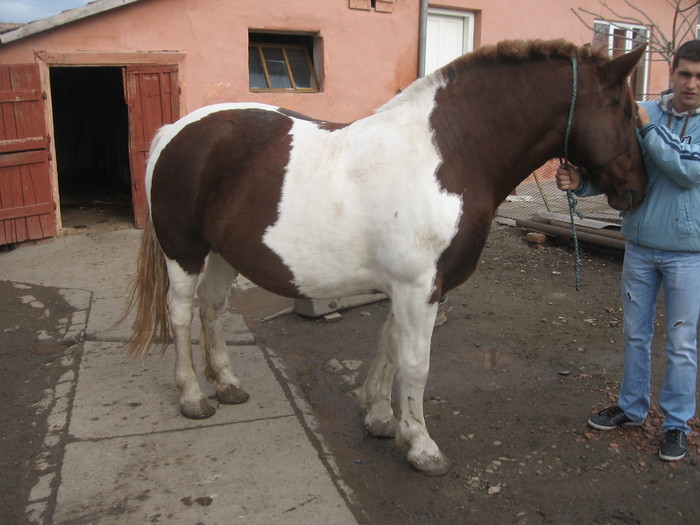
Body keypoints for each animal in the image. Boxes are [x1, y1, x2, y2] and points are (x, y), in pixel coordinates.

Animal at [123, 39, 647, 476]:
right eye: (624, 109)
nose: (638, 190)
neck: (450, 153)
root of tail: (175, 129)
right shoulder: (418, 287)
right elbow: (415, 363)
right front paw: (421, 445)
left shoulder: (413, 287)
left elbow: (389, 347)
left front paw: (378, 416)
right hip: (184, 251)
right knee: (182, 314)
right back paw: (193, 395)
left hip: (224, 253)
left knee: (212, 308)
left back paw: (227, 383)